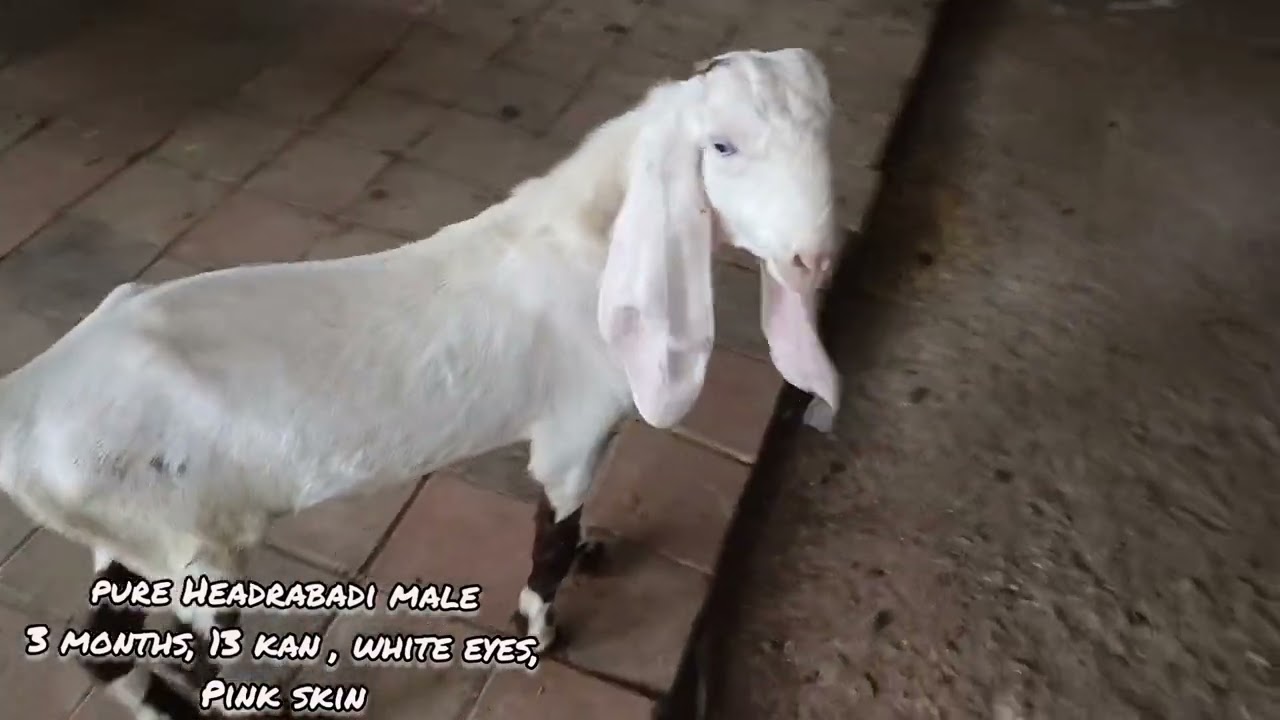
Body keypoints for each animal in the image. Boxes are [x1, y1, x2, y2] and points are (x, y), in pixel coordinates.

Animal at [0, 47, 845, 720]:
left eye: (826, 128)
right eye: (722, 145)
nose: (814, 260)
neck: (587, 242)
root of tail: (25, 400)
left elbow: (572, 529)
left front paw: (593, 552)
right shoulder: (572, 433)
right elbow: (550, 536)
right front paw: (539, 630)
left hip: (127, 528)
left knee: (104, 647)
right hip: (194, 544)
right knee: (191, 654)